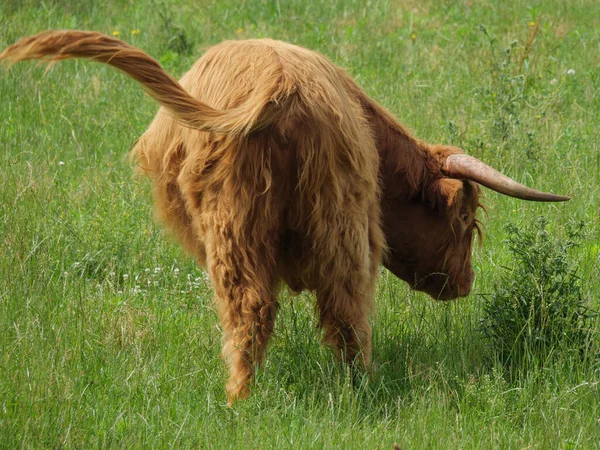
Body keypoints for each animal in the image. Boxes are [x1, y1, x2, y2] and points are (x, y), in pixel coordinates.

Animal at [0, 32, 568, 404]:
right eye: (466, 218)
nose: (466, 283)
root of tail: (278, 90)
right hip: (336, 219)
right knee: (340, 309)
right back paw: (351, 389)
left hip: (237, 224)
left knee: (258, 309)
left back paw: (241, 401)